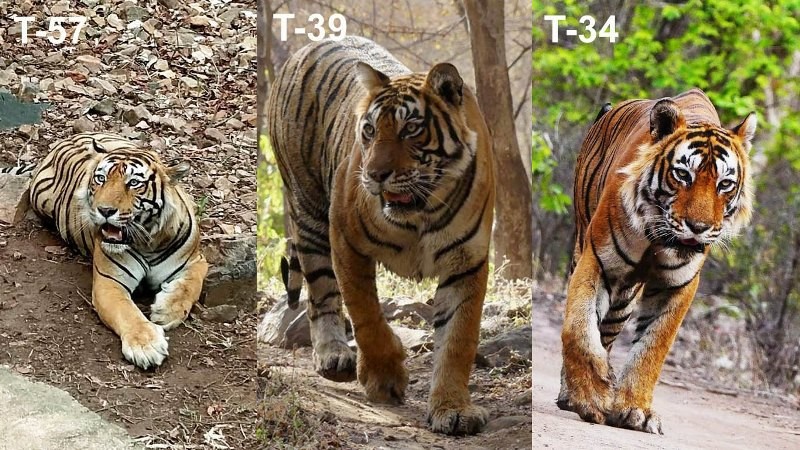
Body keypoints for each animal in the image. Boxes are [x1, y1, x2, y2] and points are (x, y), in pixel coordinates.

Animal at [27, 132, 208, 370]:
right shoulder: (109, 282)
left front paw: (166, 311)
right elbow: (128, 312)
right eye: (101, 179)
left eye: (134, 183)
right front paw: (146, 346)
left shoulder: (197, 260)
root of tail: (65, 140)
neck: (149, 241)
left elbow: (191, 285)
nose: (104, 210)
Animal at [266, 36, 495, 435]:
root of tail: (305, 49)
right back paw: (333, 355)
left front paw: (453, 409)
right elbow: (366, 314)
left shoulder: (467, 261)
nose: (374, 175)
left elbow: (457, 339)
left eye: (411, 129)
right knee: (320, 293)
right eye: (370, 130)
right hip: (308, 210)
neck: (422, 212)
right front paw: (385, 379)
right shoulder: (344, 237)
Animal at [558, 88, 755, 434]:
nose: (698, 227)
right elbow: (579, 328)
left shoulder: (680, 284)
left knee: (608, 332)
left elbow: (654, 346)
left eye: (725, 184)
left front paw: (634, 410)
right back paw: (572, 393)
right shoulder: (598, 260)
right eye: (682, 175)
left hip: (624, 298)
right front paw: (591, 397)